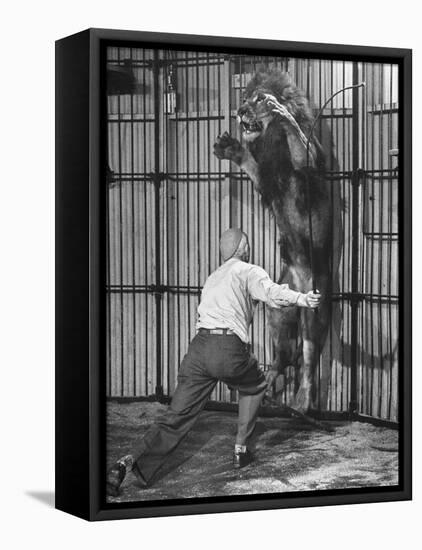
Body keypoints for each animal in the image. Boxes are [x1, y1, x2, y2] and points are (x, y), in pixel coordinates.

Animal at [214, 70, 336, 414]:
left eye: (258, 99)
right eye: (245, 98)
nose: (241, 111)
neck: (273, 141)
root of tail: (296, 279)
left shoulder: (311, 163)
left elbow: (302, 144)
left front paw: (282, 113)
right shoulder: (266, 178)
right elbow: (251, 164)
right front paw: (232, 149)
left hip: (313, 306)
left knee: (307, 359)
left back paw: (301, 401)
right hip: (278, 314)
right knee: (282, 360)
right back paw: (265, 388)